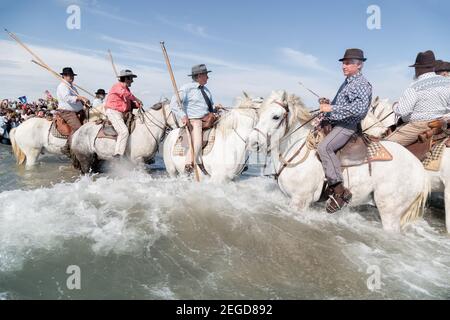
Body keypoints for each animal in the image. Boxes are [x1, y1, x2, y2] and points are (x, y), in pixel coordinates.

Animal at [248, 90, 430, 232]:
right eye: (258, 114)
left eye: (276, 116)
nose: (253, 142)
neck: (297, 149)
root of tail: (420, 169)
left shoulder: (300, 201)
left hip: (390, 212)